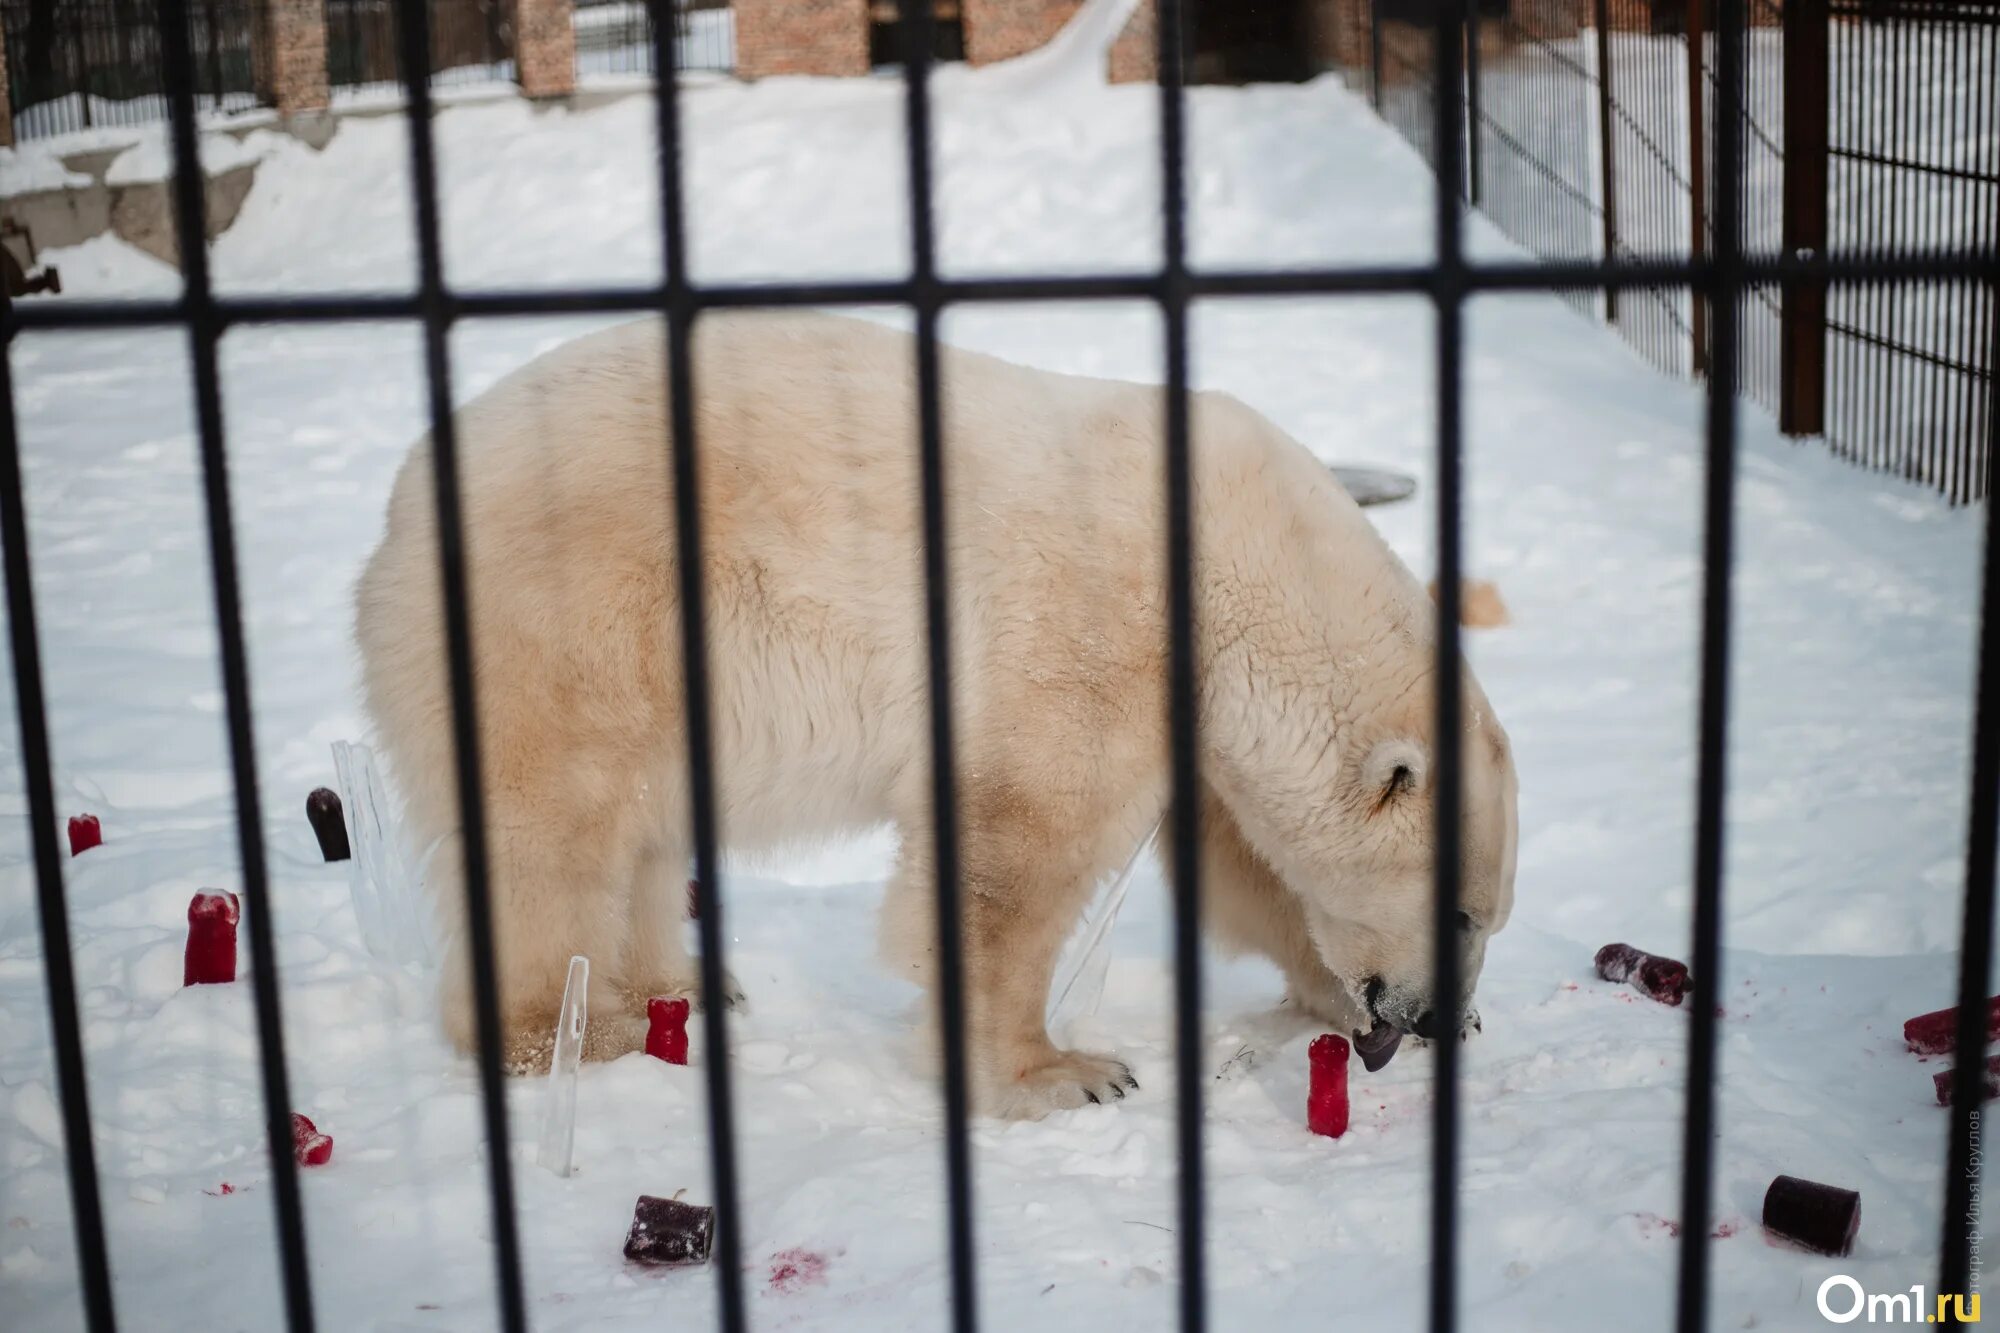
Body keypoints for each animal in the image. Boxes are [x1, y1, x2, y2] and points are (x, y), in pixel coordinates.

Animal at [356, 306, 1512, 1112]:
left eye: (1487, 918)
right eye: (1458, 912)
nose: (1437, 1017)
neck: (1232, 565)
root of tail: (398, 510)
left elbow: (1241, 869)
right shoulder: (1090, 628)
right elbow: (1014, 849)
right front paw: (1064, 1072)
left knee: (635, 830)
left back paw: (678, 990)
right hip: (569, 618)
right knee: (555, 833)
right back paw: (572, 1030)